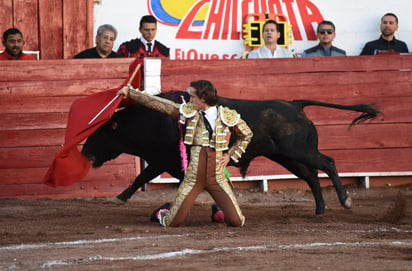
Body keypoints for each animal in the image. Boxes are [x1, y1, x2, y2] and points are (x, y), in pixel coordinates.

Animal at [82, 92, 382, 217]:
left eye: (100, 132)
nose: (84, 151)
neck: (154, 119)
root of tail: (295, 104)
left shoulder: (171, 161)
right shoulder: (161, 160)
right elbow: (141, 177)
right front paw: (120, 198)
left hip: (299, 150)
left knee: (327, 163)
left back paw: (345, 201)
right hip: (288, 157)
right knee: (310, 176)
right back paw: (319, 210)